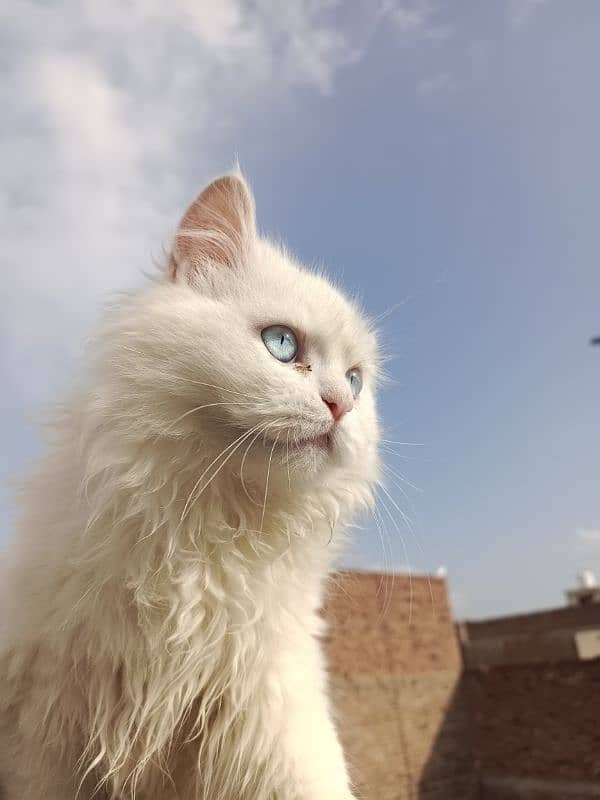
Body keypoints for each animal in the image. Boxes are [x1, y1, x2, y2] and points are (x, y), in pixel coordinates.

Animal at [1, 172, 380, 796]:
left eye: (355, 381)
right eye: (282, 345)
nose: (341, 406)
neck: (212, 535)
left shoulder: (271, 703)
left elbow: (314, 779)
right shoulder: (42, 722)